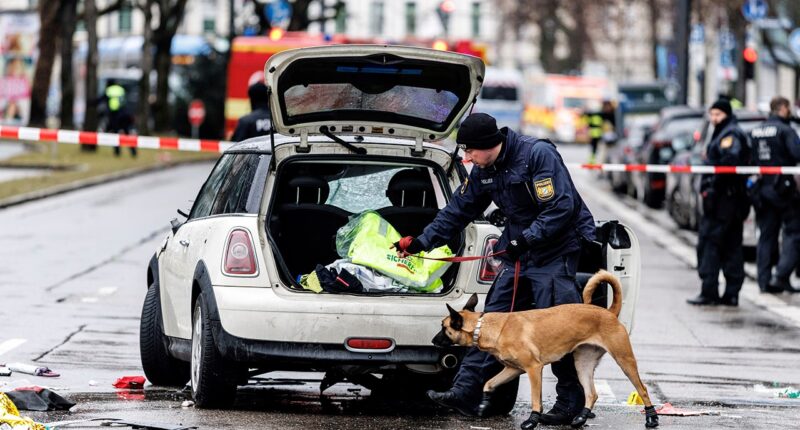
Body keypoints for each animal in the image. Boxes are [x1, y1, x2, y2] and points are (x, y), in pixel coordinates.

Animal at [434, 270, 660, 428]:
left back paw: (651, 418)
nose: (434, 341)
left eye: (444, 328)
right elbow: (488, 384)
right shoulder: (513, 369)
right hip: (583, 364)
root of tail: (609, 312)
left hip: (624, 360)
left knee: (643, 389)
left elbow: (536, 398)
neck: (486, 327)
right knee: (592, 394)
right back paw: (581, 417)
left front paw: (532, 420)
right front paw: (484, 404)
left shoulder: (534, 369)